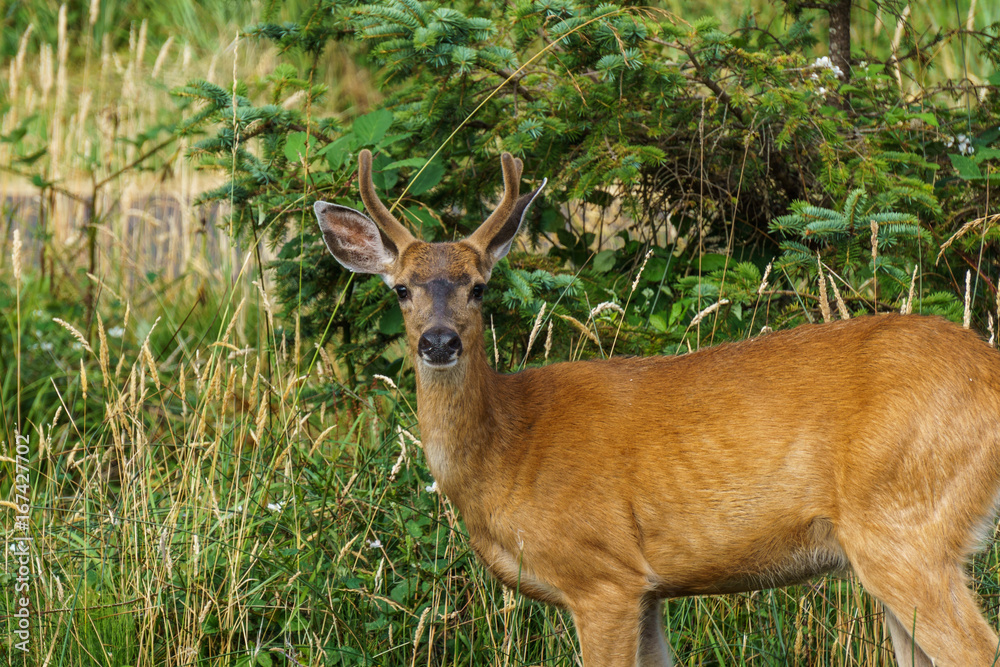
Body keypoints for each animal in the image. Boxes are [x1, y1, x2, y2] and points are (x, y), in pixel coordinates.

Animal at [313, 148, 1000, 666]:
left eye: (479, 288)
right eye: (401, 290)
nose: (438, 342)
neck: (509, 447)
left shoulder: (603, 576)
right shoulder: (649, 592)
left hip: (906, 523)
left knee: (977, 647)